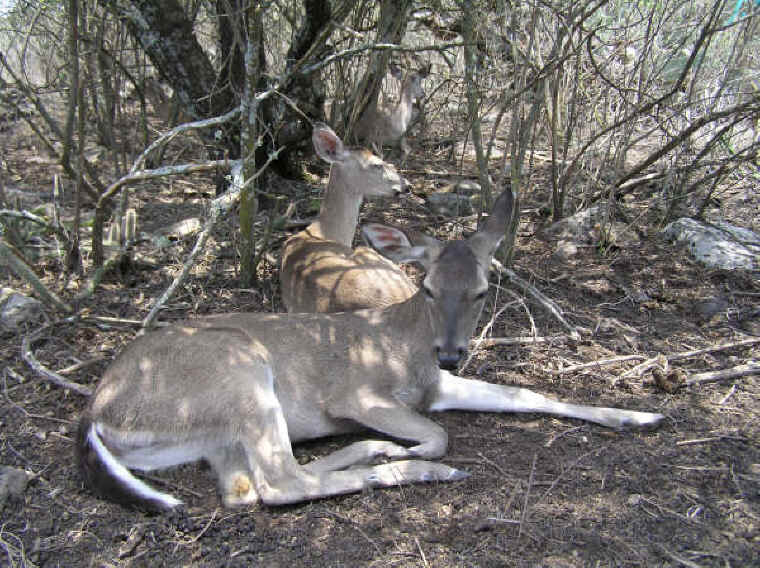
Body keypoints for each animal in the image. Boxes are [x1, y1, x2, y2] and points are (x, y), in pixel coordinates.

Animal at [77, 189, 665, 511]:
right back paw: (416, 469)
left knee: (245, 487)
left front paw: (637, 415)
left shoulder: (437, 386)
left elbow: (525, 395)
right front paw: (417, 454)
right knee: (280, 482)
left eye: (481, 291)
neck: (406, 345)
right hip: (237, 370)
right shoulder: (354, 393)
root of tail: (96, 411)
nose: (450, 353)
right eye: (427, 286)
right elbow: (439, 435)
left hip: (209, 435)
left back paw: (370, 449)